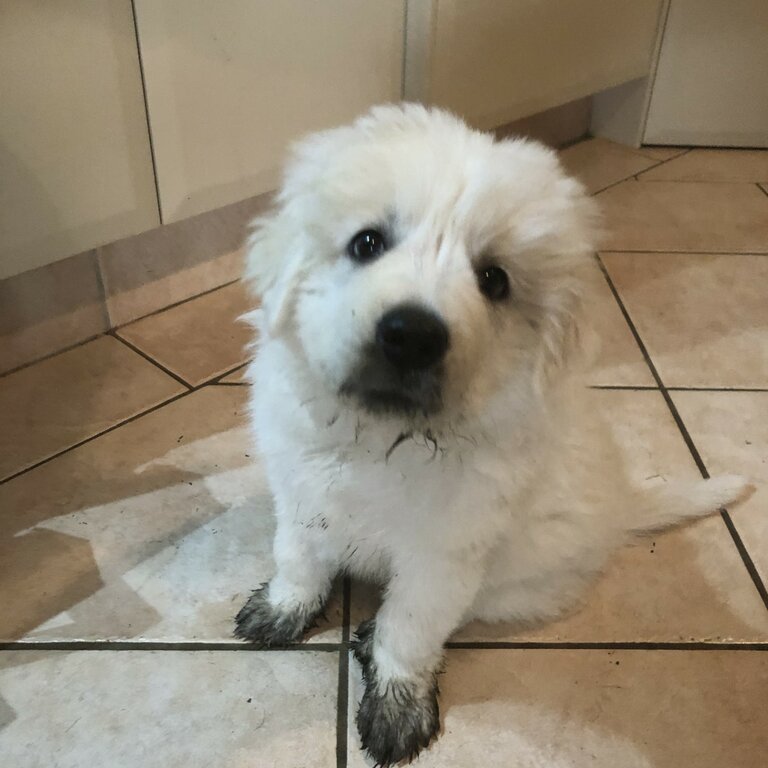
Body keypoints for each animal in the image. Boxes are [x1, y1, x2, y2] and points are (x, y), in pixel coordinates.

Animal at [236, 105, 752, 764]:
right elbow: (297, 558)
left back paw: (373, 633)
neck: (384, 439)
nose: (412, 335)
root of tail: (622, 508)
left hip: (522, 579)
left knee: (458, 612)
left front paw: (396, 703)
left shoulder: (443, 556)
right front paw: (284, 608)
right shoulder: (302, 495)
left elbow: (412, 628)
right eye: (367, 243)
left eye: (494, 280)